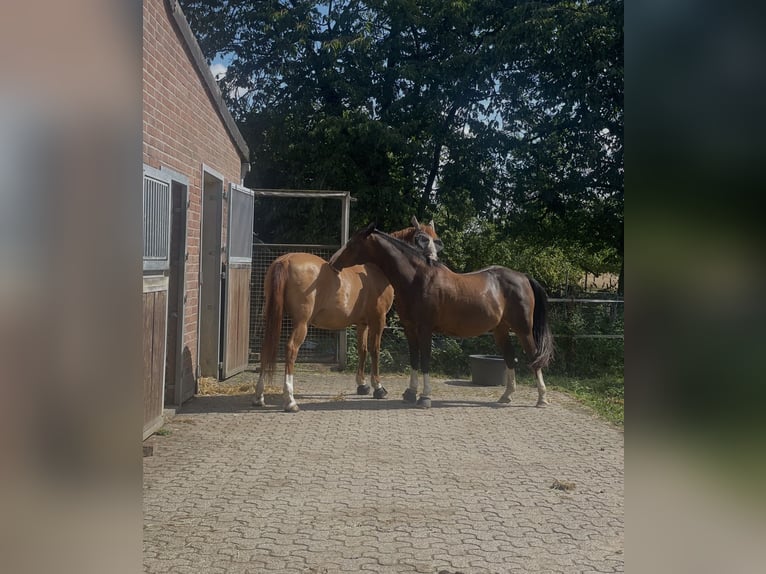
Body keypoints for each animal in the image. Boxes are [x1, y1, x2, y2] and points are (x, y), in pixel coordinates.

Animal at [252, 217, 443, 412]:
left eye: (437, 240)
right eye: (421, 239)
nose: (433, 261)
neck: (374, 270)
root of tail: (285, 260)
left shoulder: (362, 323)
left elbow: (362, 350)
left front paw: (362, 385)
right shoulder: (378, 319)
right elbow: (375, 350)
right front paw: (378, 387)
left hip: (272, 317)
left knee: (265, 347)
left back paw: (259, 396)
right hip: (301, 323)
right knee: (291, 349)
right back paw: (290, 400)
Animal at [328, 222, 554, 409]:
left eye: (352, 244)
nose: (333, 262)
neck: (418, 279)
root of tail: (523, 277)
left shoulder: (425, 329)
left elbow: (425, 359)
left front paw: (424, 397)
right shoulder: (410, 329)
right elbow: (414, 359)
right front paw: (410, 393)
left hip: (523, 330)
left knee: (534, 358)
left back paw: (542, 398)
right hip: (501, 330)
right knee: (509, 358)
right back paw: (506, 396)